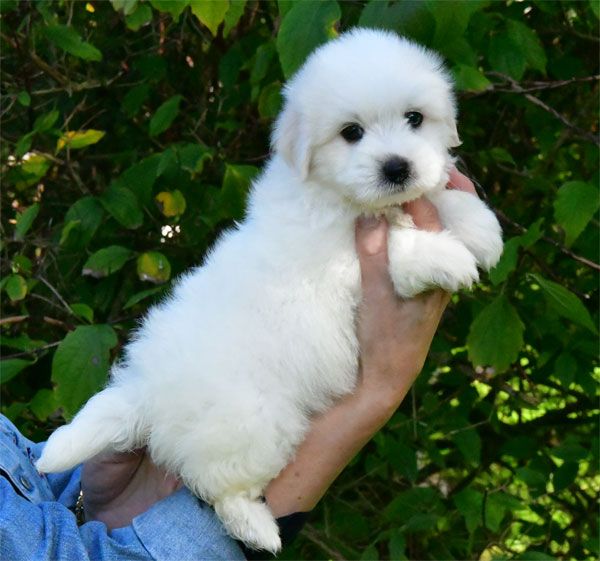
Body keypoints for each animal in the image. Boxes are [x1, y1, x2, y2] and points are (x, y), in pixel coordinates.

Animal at [35, 29, 500, 552]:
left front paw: (480, 228)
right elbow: (399, 245)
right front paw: (447, 256)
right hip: (255, 424)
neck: (342, 199)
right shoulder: (341, 266)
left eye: (415, 119)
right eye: (351, 133)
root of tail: (145, 391)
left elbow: (437, 200)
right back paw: (256, 528)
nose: (397, 167)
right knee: (217, 485)